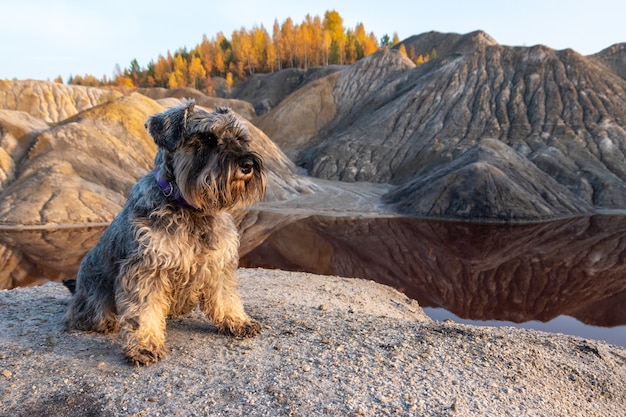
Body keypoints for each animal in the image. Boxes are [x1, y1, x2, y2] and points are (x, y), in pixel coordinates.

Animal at [64, 101, 264, 364]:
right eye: (207, 138)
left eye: (240, 138)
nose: (247, 165)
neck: (191, 209)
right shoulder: (147, 269)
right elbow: (143, 310)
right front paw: (144, 344)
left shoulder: (218, 264)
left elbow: (226, 297)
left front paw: (238, 321)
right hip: (93, 299)